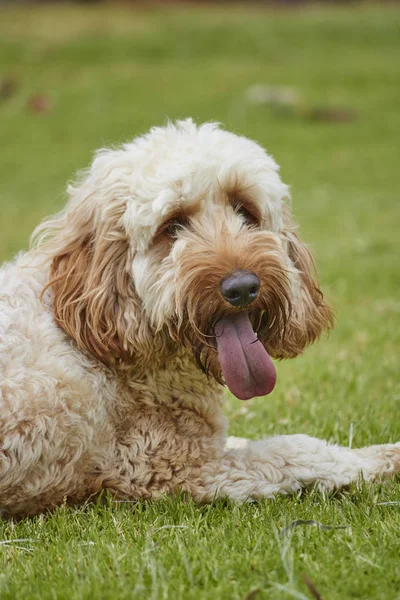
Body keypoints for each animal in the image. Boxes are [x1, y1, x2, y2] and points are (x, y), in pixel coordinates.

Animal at [0, 119, 398, 516]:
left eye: (245, 210)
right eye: (172, 225)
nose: (242, 288)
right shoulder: (170, 468)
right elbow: (297, 450)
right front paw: (377, 460)